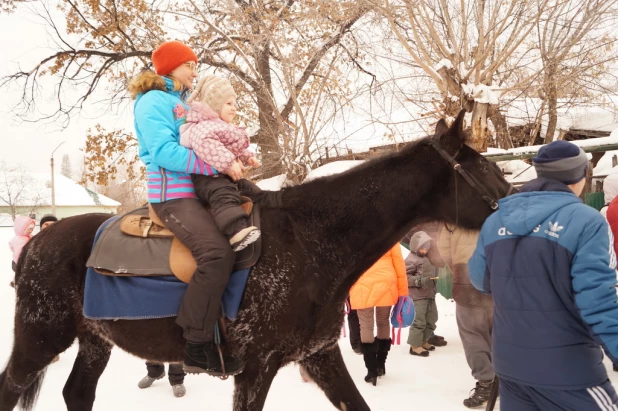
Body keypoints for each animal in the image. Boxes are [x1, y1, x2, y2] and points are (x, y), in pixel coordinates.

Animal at [0, 111, 510, 410]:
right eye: (486, 167)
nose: (514, 200)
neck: (310, 242)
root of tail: (38, 243)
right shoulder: (256, 367)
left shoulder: (319, 355)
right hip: (40, 337)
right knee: (12, 386)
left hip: (93, 339)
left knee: (77, 393)